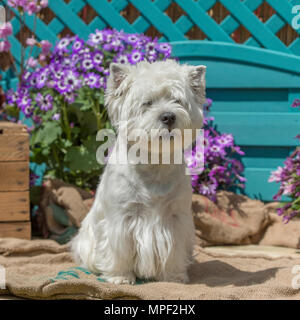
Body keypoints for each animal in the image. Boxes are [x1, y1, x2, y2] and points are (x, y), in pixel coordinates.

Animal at [71, 58, 205, 284]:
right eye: (147, 103)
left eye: (177, 100)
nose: (168, 117)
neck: (154, 164)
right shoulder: (121, 218)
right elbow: (120, 251)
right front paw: (120, 277)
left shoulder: (176, 217)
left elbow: (174, 250)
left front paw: (174, 276)